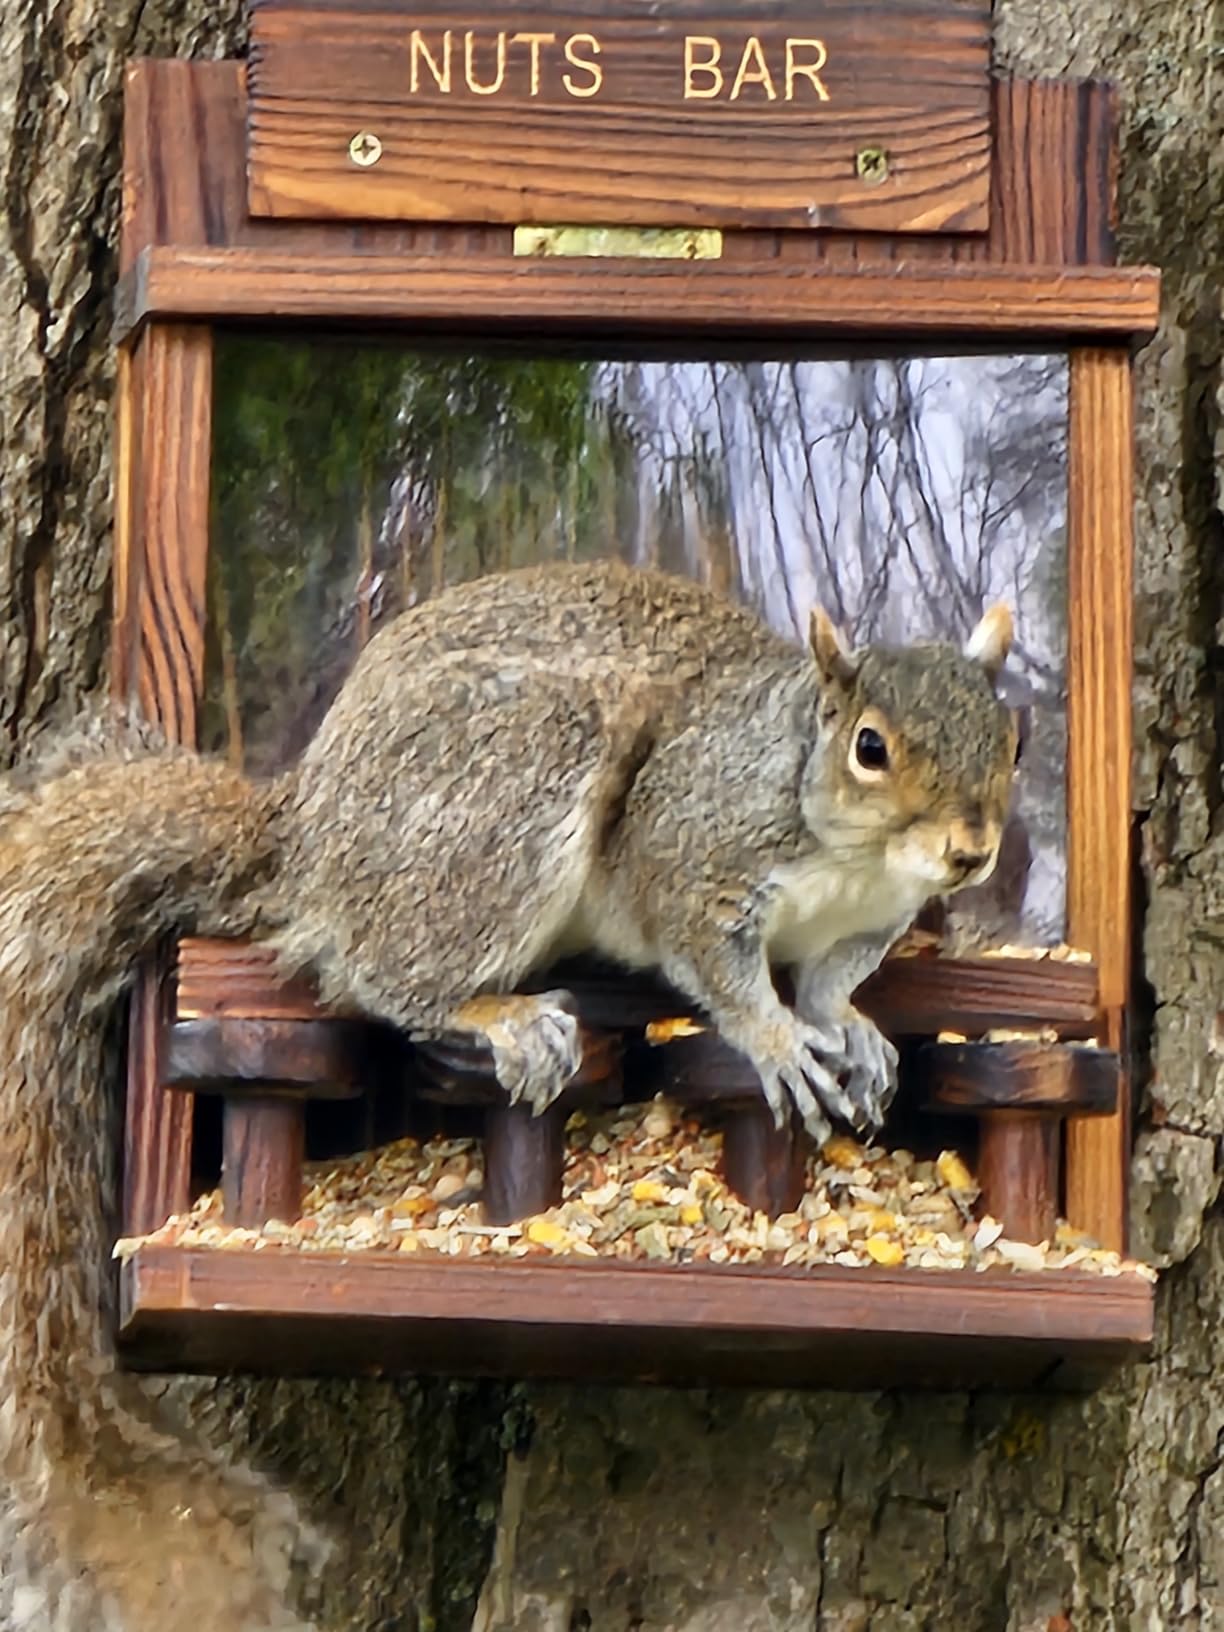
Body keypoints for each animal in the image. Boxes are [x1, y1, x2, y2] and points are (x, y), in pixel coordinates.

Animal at [0, 558, 1017, 1629]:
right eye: (871, 747)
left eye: (1012, 737)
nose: (972, 852)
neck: (851, 855)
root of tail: (308, 835)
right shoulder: (689, 855)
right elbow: (724, 972)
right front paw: (778, 1042)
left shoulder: (864, 926)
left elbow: (829, 982)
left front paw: (850, 1031)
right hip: (512, 788)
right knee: (378, 972)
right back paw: (501, 1016)